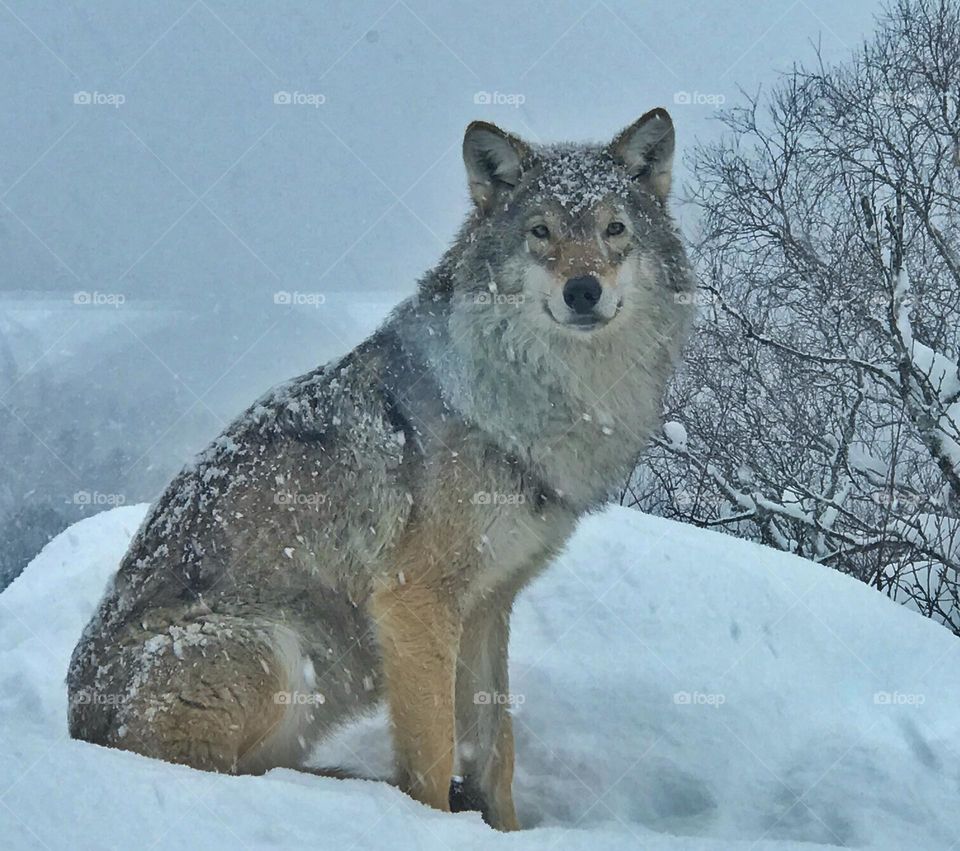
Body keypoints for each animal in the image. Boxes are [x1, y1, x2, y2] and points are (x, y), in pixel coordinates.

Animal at [67, 108, 695, 831]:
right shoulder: (414, 600)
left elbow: (497, 751)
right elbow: (434, 752)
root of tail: (74, 723)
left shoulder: (489, 606)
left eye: (613, 230)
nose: (583, 289)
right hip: (275, 650)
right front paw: (430, 823)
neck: (539, 402)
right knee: (210, 771)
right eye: (541, 233)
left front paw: (503, 829)